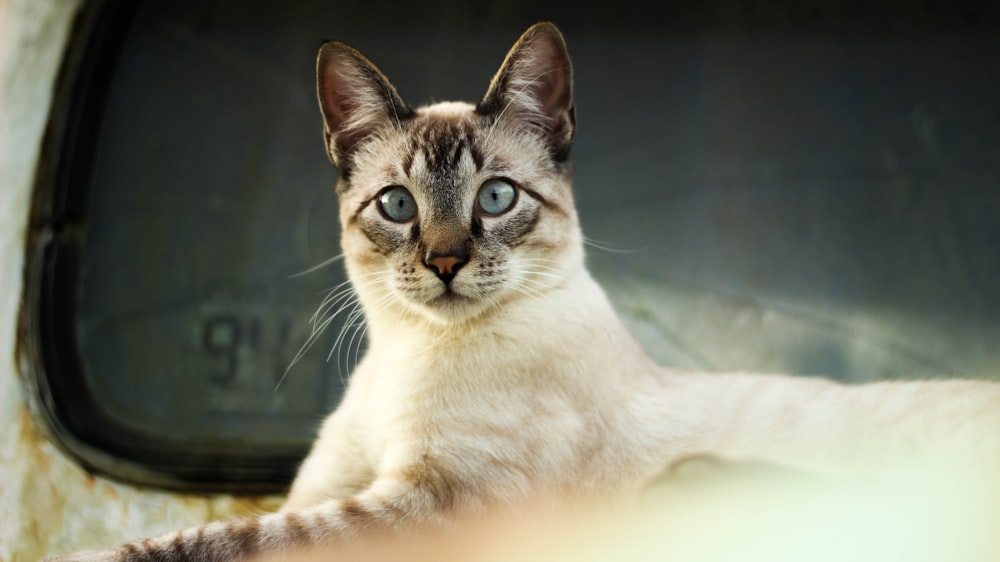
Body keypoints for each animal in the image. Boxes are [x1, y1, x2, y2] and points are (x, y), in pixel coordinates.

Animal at [50, 20, 1000, 560]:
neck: (406, 358)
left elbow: (221, 539)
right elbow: (265, 517)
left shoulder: (425, 506)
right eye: (398, 206)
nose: (443, 262)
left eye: (496, 199)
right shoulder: (339, 486)